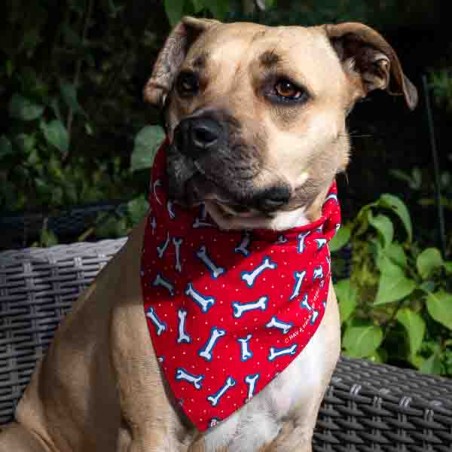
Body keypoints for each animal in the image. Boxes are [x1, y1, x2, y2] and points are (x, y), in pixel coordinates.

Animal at [0, 16, 416, 452]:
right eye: (187, 82)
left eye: (286, 89)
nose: (192, 132)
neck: (243, 246)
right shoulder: (150, 432)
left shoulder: (296, 432)